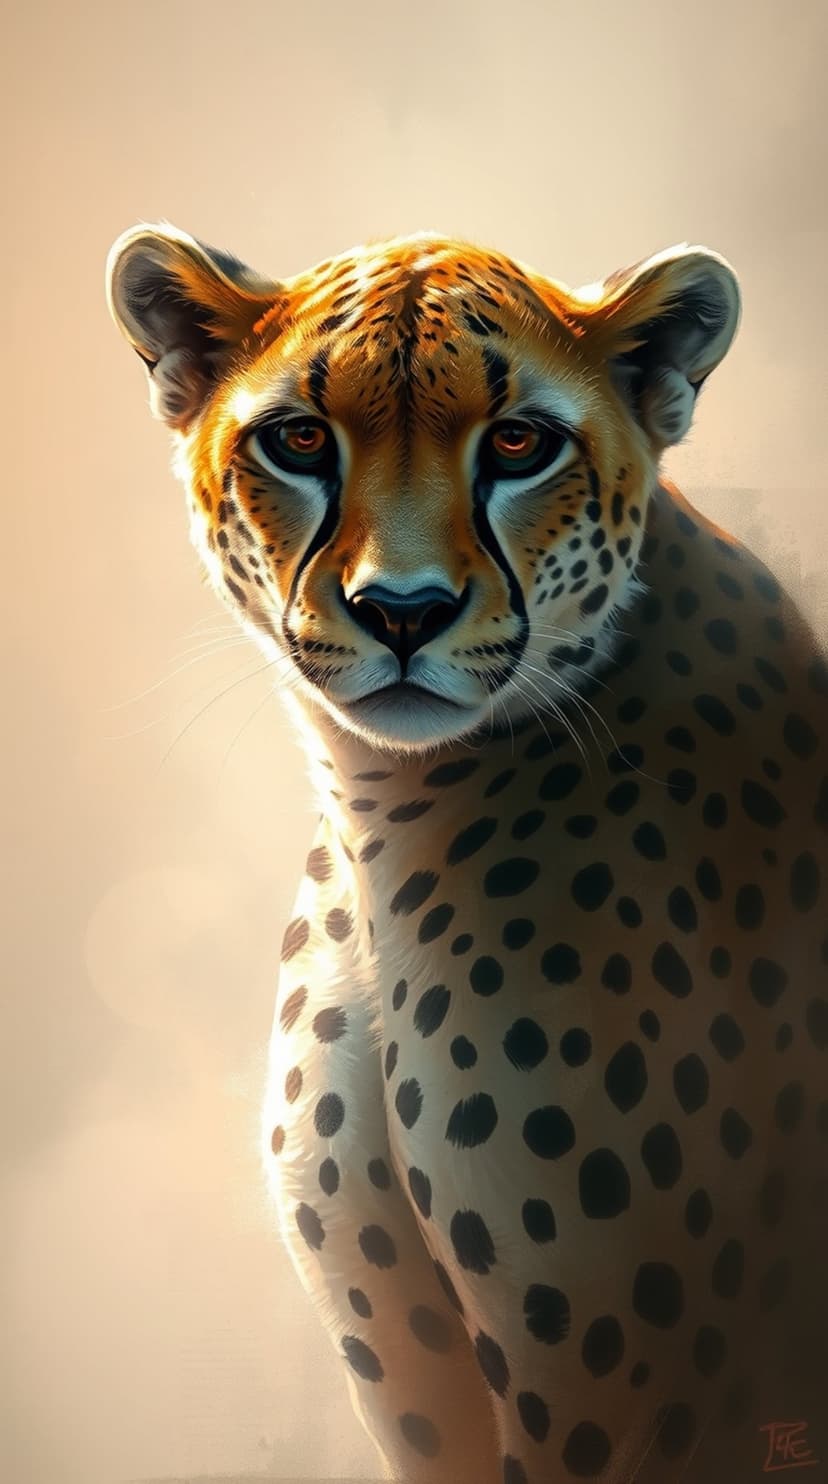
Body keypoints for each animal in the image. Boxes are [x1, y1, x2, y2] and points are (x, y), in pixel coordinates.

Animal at [106, 220, 828, 1483]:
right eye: (300, 437)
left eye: (520, 442)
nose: (402, 610)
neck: (381, 823)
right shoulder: (410, 1369)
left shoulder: (619, 1390)